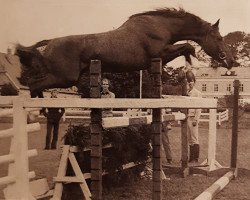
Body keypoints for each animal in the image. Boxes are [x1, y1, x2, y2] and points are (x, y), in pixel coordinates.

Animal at [15, 8, 234, 97]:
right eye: (219, 38)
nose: (230, 61)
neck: (162, 26)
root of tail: (50, 43)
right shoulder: (159, 54)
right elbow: (188, 47)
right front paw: (193, 66)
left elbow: (186, 48)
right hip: (65, 78)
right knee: (34, 84)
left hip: (64, 77)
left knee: (35, 84)